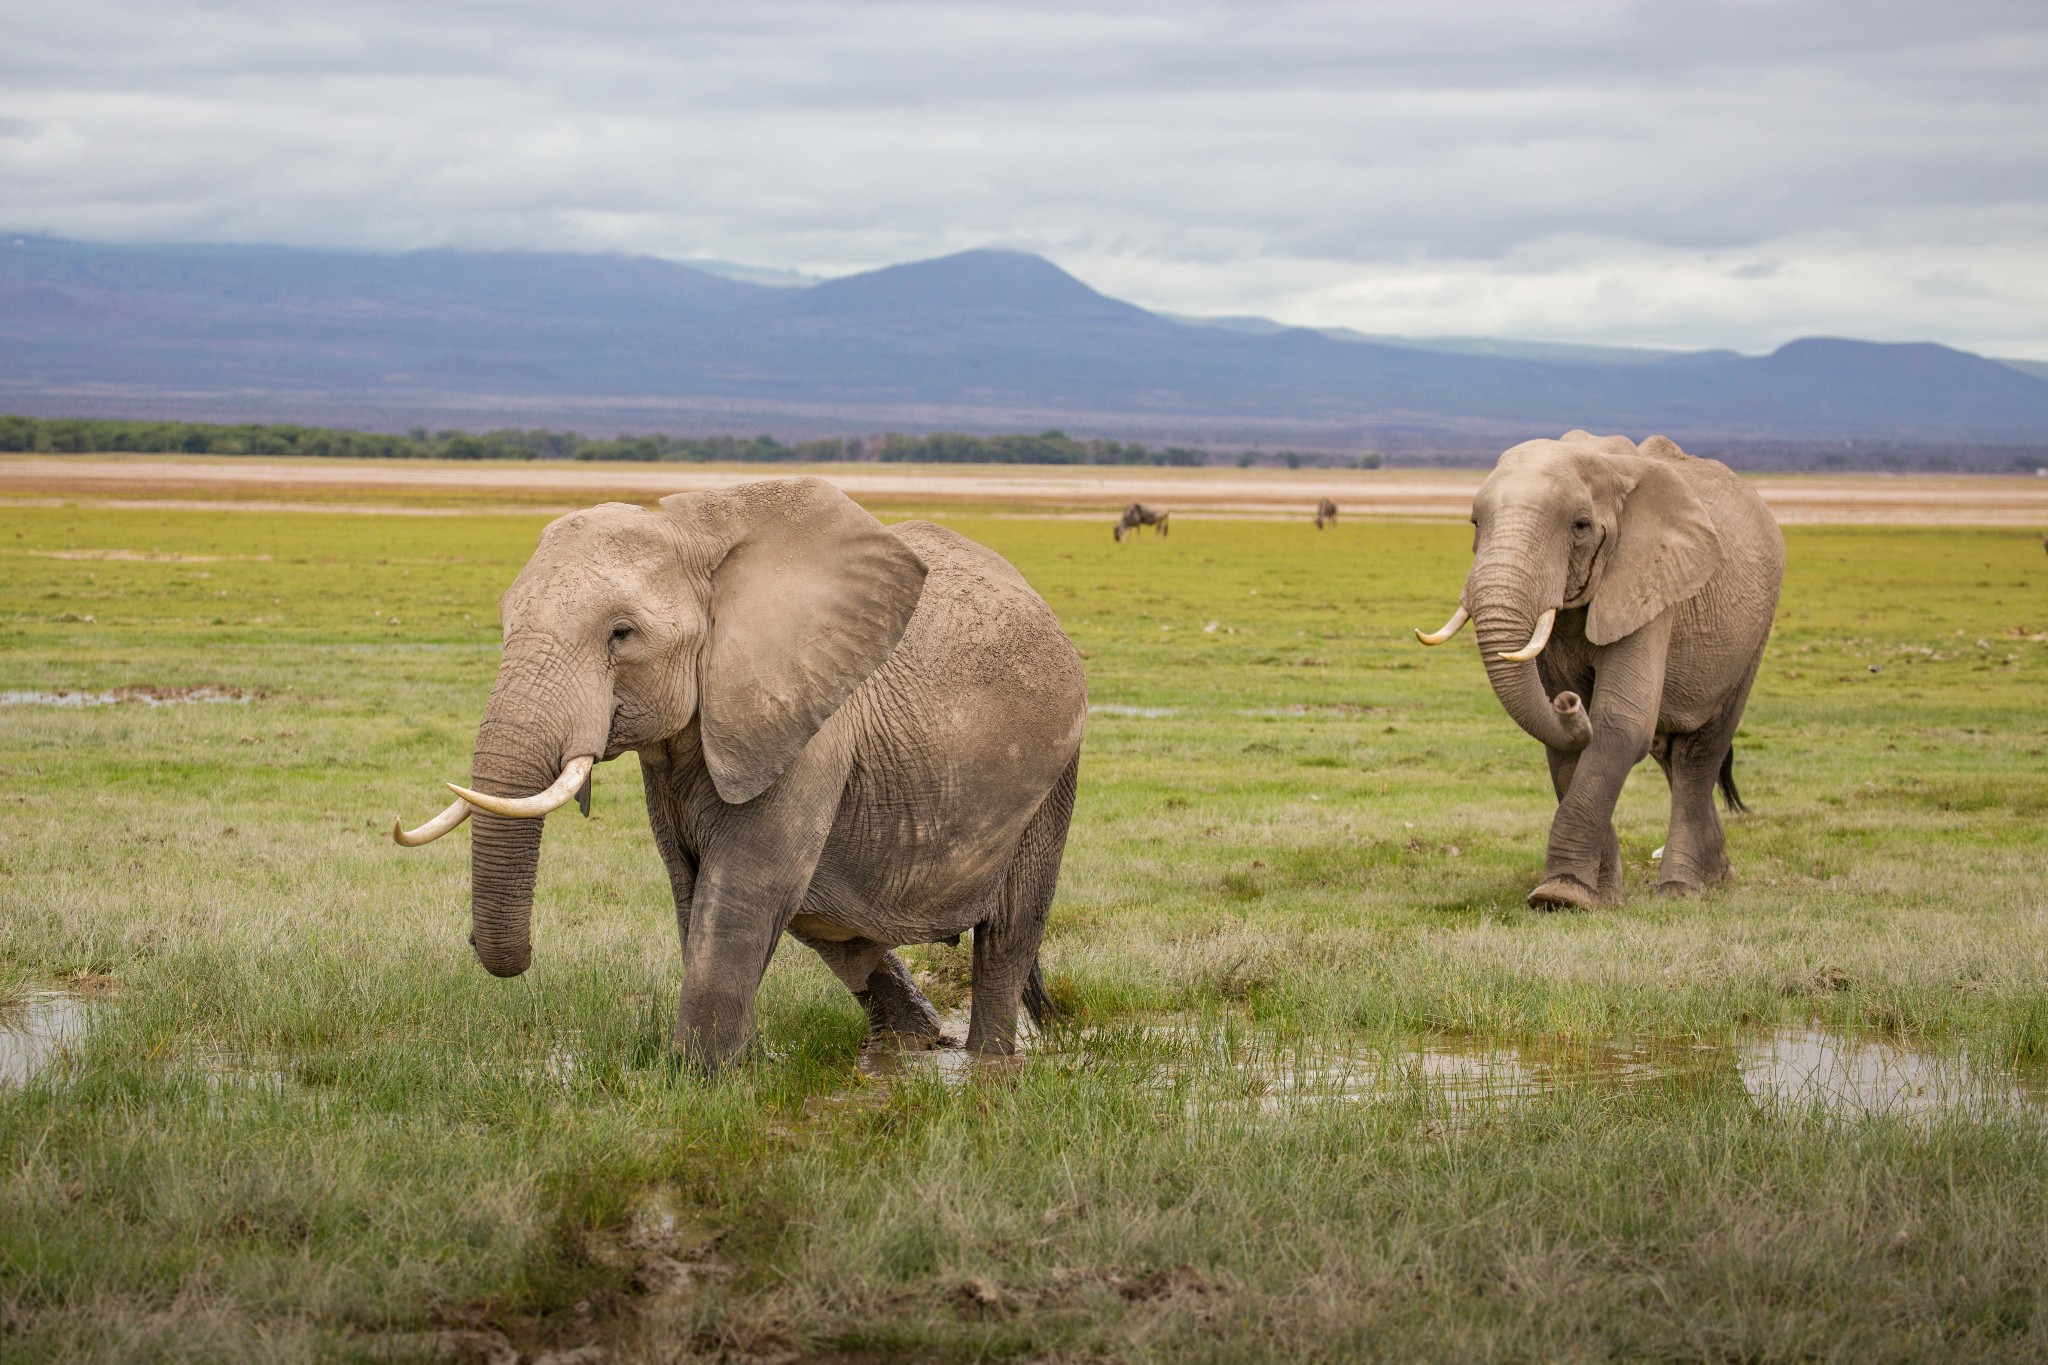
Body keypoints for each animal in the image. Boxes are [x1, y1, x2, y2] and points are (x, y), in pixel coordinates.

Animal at [395, 480, 1089, 1064]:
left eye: (621, 634)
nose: (479, 946)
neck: (690, 533)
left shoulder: (804, 729)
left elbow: (741, 893)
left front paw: (701, 1082)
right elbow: (693, 890)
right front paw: (739, 1069)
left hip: (1055, 771)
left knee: (1006, 936)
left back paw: (985, 1065)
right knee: (838, 927)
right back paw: (910, 1045)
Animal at [1417, 435, 1785, 908]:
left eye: (1580, 526)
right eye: (1475, 522)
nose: (1568, 702)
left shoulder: (1649, 584)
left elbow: (1619, 724)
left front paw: (1559, 896)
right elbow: (1566, 746)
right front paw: (1592, 896)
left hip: (1755, 631)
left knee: (1699, 754)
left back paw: (1681, 889)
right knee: (1670, 753)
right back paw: (1719, 877)